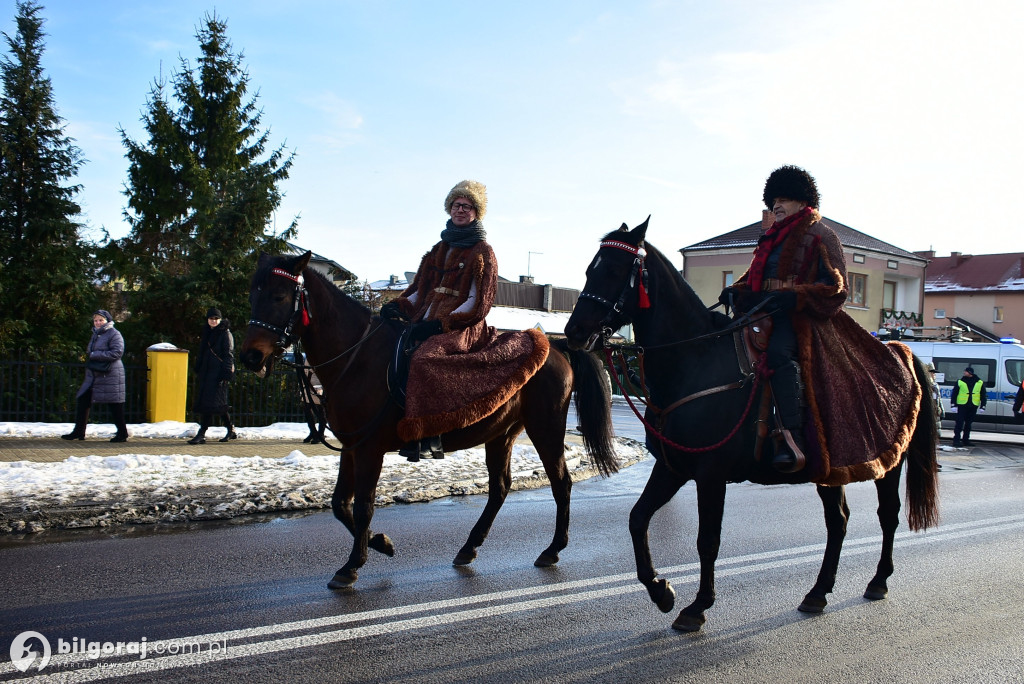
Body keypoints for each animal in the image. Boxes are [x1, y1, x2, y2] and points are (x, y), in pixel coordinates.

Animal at [243, 250, 618, 589]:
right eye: (253, 295)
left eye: (279, 296)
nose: (250, 356)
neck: (358, 357)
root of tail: (556, 348)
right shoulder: (351, 446)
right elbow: (340, 505)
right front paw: (380, 543)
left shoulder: (369, 449)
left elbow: (363, 506)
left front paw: (352, 565)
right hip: (502, 434)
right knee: (500, 487)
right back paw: (469, 547)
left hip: (546, 430)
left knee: (561, 483)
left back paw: (552, 549)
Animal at [565, 219, 937, 630]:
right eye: (590, 270)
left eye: (614, 271)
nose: (574, 331)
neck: (695, 361)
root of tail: (901, 353)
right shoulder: (672, 467)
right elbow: (637, 519)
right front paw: (661, 591)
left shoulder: (710, 474)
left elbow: (707, 540)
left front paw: (697, 607)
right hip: (830, 470)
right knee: (838, 521)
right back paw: (818, 592)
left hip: (890, 463)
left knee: (887, 516)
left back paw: (878, 581)